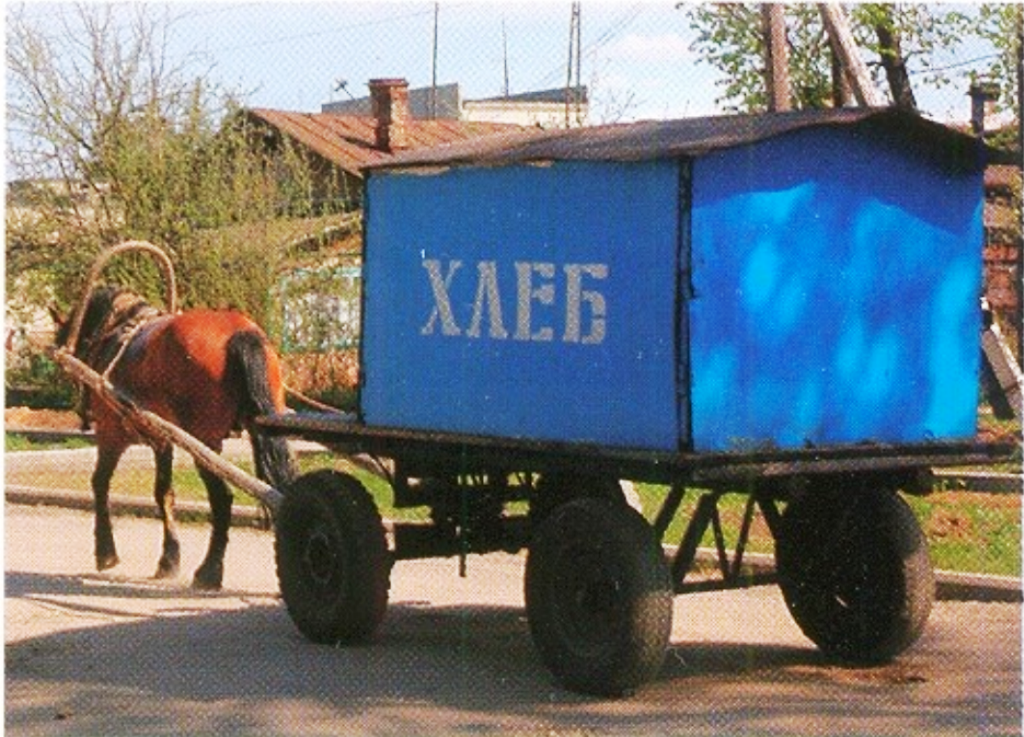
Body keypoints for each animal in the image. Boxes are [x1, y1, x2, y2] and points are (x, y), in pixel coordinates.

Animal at [54, 284, 296, 589]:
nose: (82, 415)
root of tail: (240, 331)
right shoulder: (162, 440)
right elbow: (164, 493)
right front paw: (168, 559)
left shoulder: (111, 434)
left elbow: (99, 483)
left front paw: (105, 553)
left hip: (204, 443)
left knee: (222, 499)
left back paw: (209, 570)